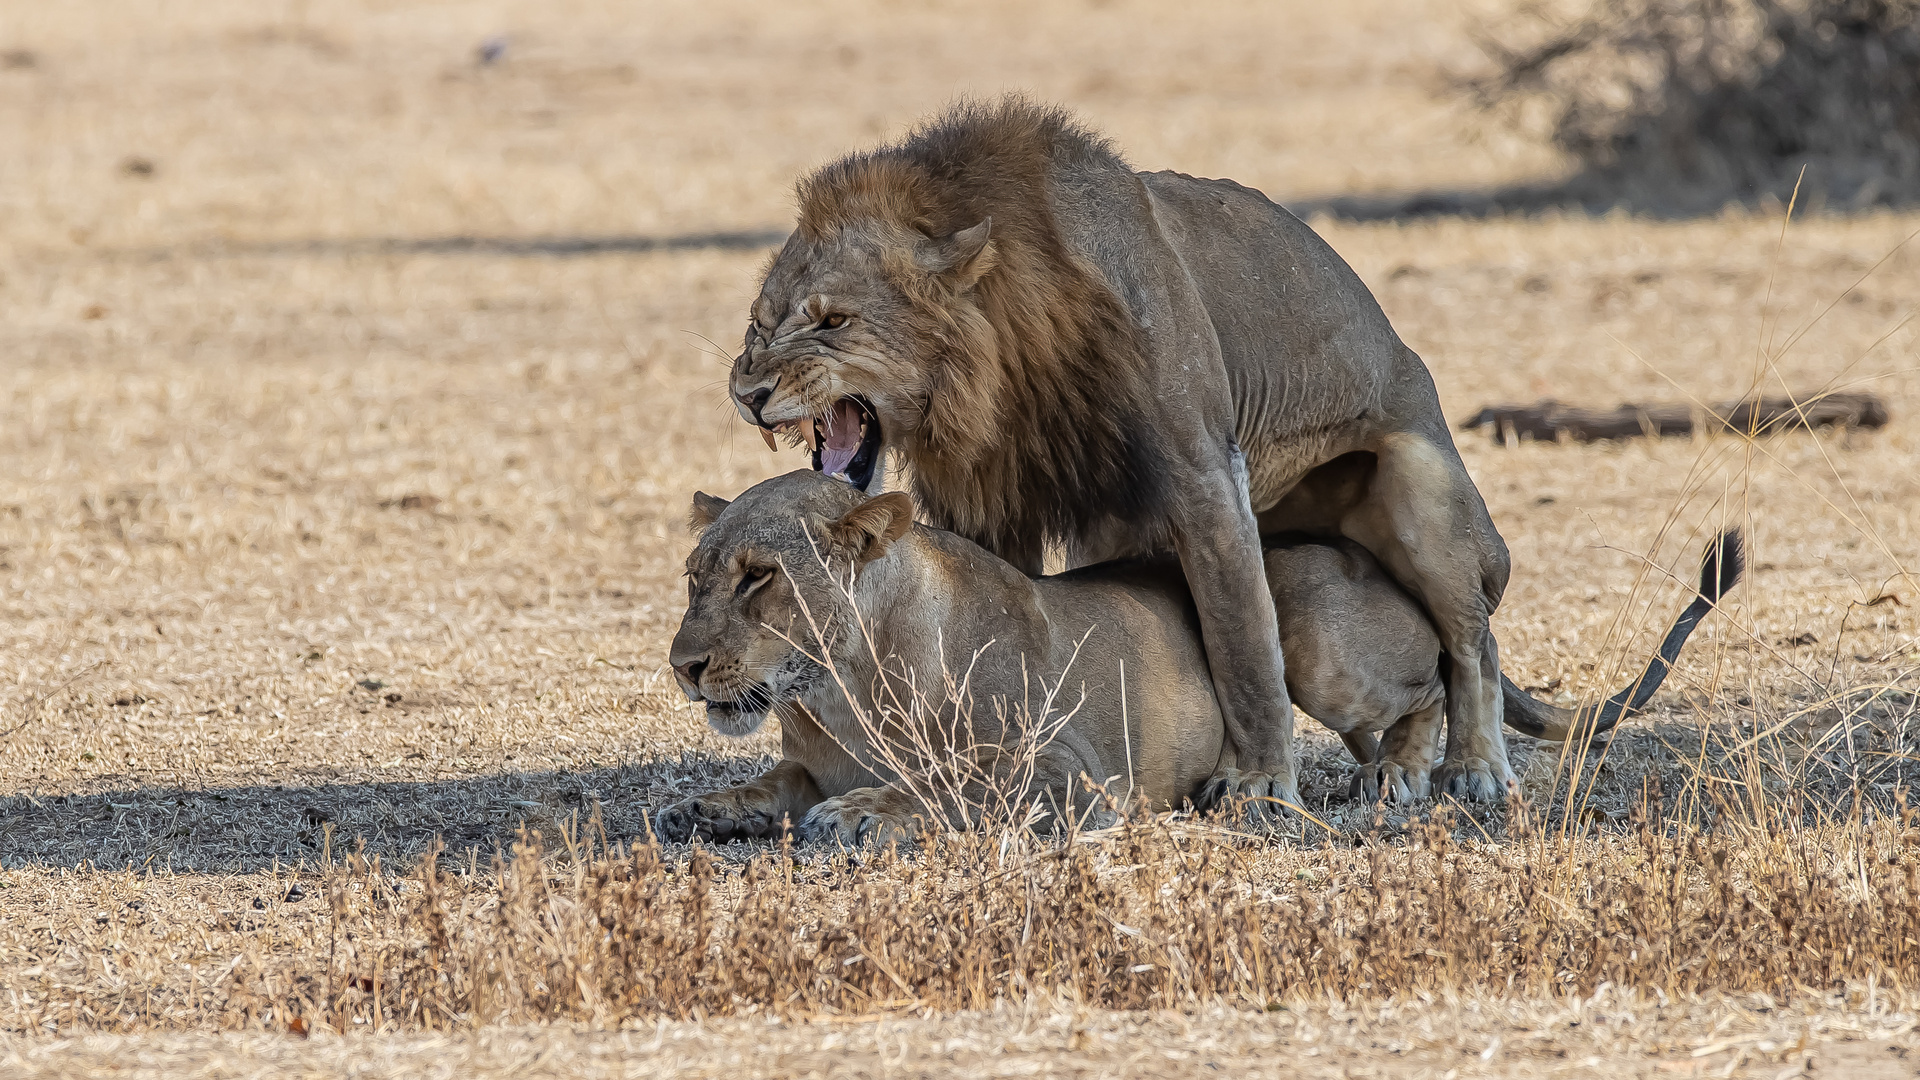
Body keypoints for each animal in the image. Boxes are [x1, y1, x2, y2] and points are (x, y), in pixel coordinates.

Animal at [656, 470, 1743, 841]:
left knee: (1446, 665)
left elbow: (956, 785)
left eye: (759, 577)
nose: (684, 665)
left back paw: (1399, 775)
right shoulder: (804, 752)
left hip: (1298, 617)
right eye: (696, 575)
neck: (837, 687)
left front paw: (864, 813)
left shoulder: (1075, 773)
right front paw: (705, 805)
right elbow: (774, 779)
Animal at [729, 96, 1512, 810]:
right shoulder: (988, 506)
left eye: (834, 321)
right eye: (759, 323)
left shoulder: (1204, 474)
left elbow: (1244, 645)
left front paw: (1260, 782)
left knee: (1466, 645)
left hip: (1424, 496)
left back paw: (1460, 768)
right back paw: (1394, 767)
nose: (748, 392)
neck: (1005, 368)